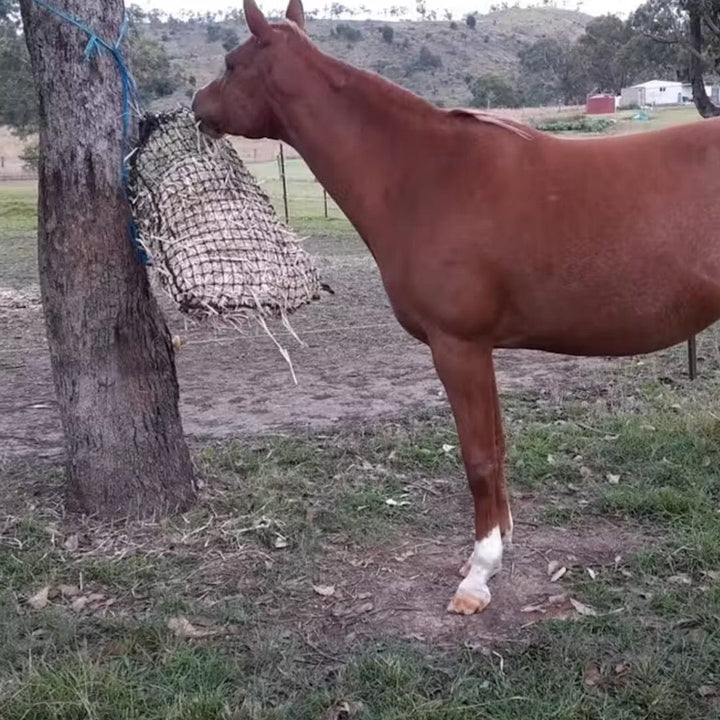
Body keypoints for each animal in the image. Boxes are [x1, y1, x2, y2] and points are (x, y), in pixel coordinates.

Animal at [193, 0, 720, 616]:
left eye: (232, 63)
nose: (196, 106)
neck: (426, 174)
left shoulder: (458, 347)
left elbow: (478, 458)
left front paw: (479, 575)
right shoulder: (481, 350)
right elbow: (498, 446)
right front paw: (492, 551)